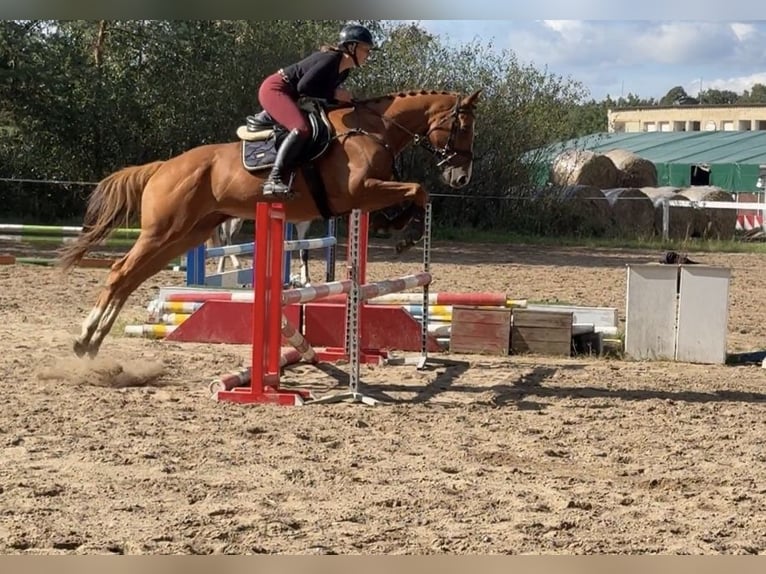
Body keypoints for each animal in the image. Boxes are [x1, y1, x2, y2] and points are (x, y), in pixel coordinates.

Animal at [58, 89, 480, 360]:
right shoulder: (359, 192)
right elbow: (418, 190)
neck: (372, 130)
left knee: (131, 278)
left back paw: (93, 342)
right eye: (462, 127)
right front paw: (407, 234)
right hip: (163, 231)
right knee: (119, 272)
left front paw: (399, 230)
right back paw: (84, 337)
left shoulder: (364, 197)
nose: (460, 177)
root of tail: (163, 166)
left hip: (185, 234)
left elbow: (412, 197)